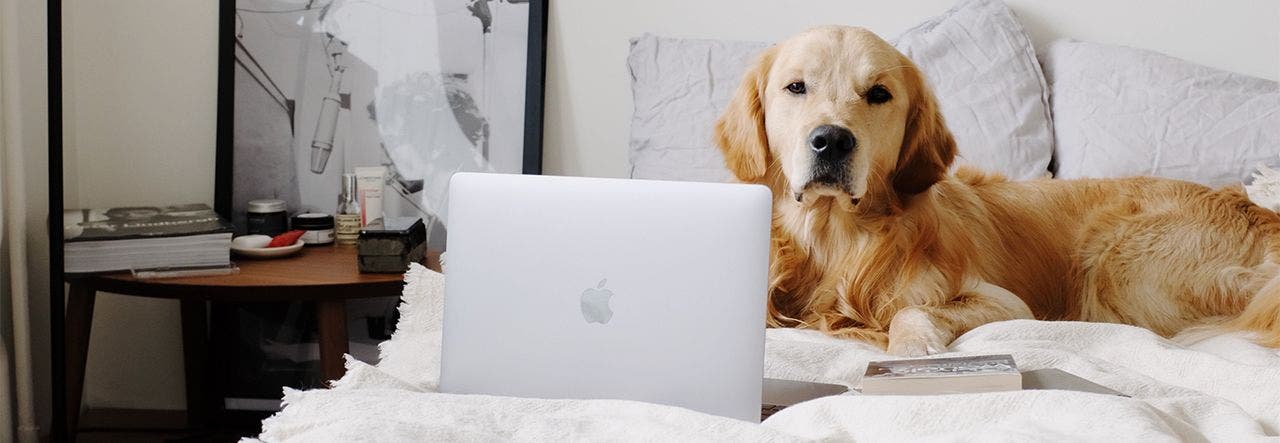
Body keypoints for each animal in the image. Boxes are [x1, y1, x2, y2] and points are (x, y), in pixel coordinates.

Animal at [716, 25, 1280, 355]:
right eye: (796, 87)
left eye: (878, 94)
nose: (831, 140)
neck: (835, 239)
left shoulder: (1006, 305)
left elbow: (913, 309)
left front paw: (912, 346)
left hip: (1118, 264)